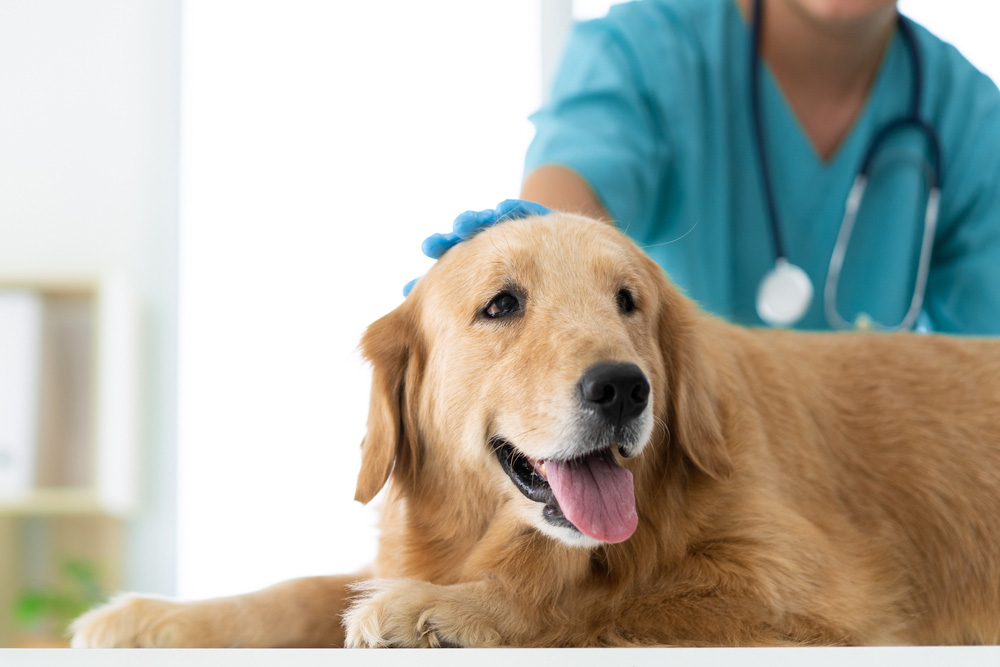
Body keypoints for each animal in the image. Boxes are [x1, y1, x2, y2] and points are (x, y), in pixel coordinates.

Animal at [72, 210, 1000, 648]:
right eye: (502, 304)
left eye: (629, 301)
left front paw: (442, 609)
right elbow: (299, 590)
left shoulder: (817, 593)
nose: (623, 388)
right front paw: (150, 616)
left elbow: (600, 597)